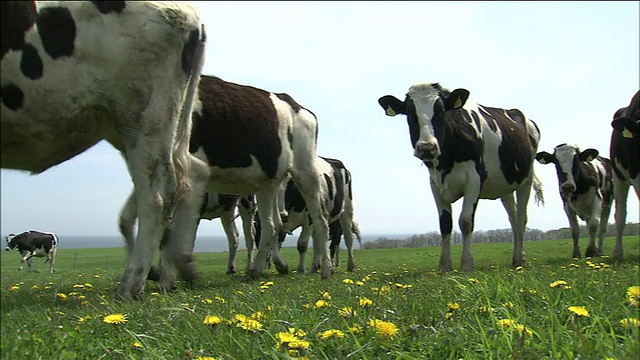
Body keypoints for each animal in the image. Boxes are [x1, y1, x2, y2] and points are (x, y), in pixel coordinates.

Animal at [1, 1, 206, 300]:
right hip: (129, 125)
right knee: (191, 176)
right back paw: (176, 270)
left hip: (146, 114)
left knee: (157, 196)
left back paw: (131, 286)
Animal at [378, 83, 544, 272]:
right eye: (410, 113)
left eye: (441, 111)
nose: (427, 148)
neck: (446, 162)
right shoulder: (435, 183)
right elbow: (445, 224)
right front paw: (444, 265)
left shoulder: (474, 179)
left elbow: (465, 221)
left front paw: (466, 264)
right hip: (505, 185)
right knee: (513, 218)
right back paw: (516, 258)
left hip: (526, 179)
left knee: (522, 217)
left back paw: (520, 258)